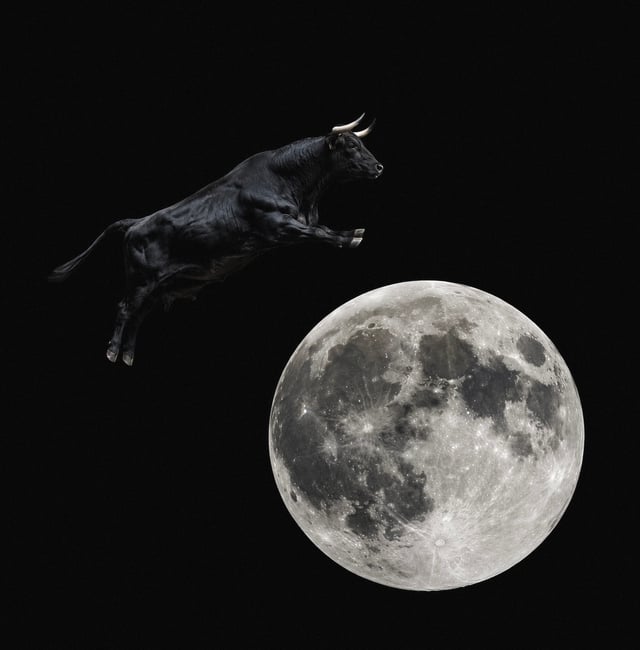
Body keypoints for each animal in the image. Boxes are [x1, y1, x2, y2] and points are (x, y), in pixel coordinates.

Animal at [49, 114, 383, 366]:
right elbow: (321, 232)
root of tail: (136, 223)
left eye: (361, 143)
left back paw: (128, 355)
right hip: (140, 280)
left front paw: (352, 234)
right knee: (123, 308)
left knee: (138, 314)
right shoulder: (277, 227)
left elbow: (321, 229)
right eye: (350, 145)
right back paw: (112, 351)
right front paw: (352, 237)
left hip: (158, 287)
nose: (379, 167)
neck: (292, 183)